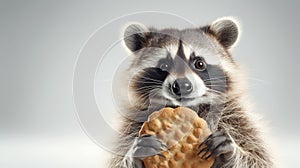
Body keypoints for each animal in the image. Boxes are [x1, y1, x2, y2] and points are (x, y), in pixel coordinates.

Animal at [109, 17, 274, 168]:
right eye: (164, 65)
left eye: (199, 63)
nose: (182, 85)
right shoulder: (130, 126)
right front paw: (135, 156)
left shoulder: (239, 120)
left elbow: (260, 159)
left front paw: (229, 156)